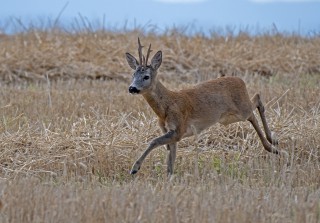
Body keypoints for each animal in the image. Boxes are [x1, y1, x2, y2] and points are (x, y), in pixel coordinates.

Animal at [125, 37, 288, 175]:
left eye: (146, 76)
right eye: (133, 75)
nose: (132, 88)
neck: (166, 106)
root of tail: (240, 80)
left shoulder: (179, 128)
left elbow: (154, 141)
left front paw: (135, 168)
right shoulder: (171, 132)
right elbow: (170, 160)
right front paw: (169, 179)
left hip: (241, 108)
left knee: (256, 101)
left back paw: (273, 145)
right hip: (228, 117)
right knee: (255, 105)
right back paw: (274, 144)